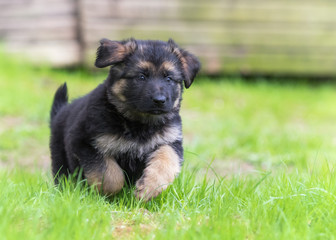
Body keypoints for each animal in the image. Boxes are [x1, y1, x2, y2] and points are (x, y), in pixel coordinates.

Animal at [49, 39, 201, 201]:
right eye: (141, 77)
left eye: (169, 78)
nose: (159, 100)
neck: (140, 124)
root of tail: (61, 111)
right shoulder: (84, 142)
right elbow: (110, 175)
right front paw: (106, 194)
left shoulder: (170, 141)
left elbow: (165, 162)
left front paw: (148, 188)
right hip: (60, 159)